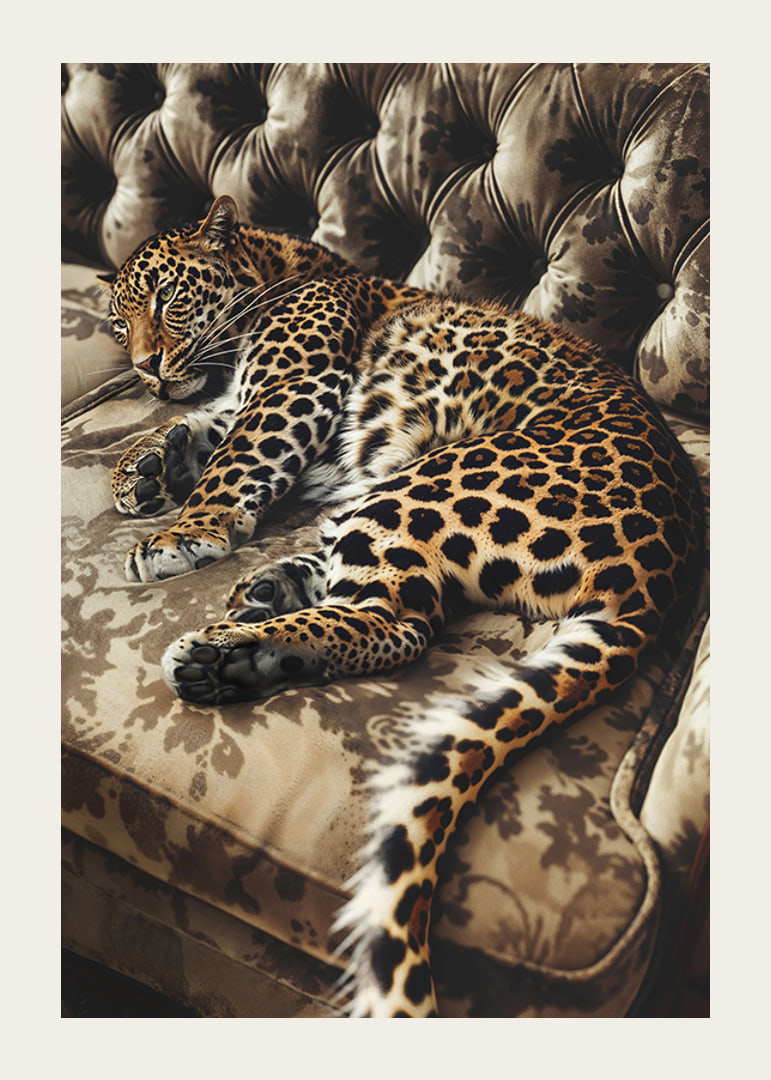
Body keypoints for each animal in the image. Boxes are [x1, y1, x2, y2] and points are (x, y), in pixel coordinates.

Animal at [100, 194, 704, 1017]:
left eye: (167, 299)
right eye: (116, 325)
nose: (142, 368)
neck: (284, 268)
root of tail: (663, 574)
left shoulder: (291, 392)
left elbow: (232, 462)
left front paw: (183, 532)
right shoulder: (238, 400)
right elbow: (192, 425)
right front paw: (141, 469)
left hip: (426, 479)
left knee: (401, 622)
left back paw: (233, 650)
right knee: (393, 600)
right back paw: (260, 609)